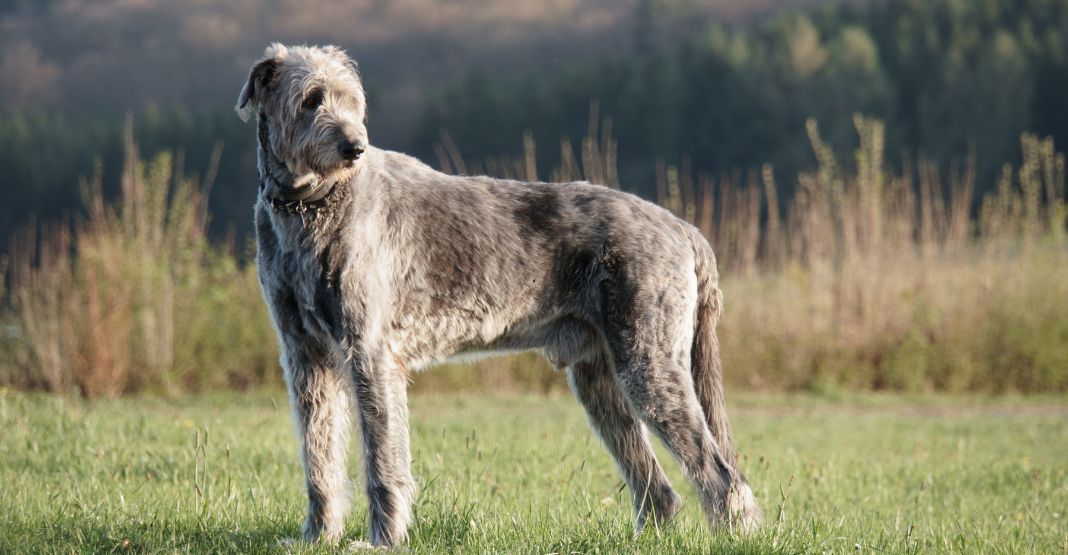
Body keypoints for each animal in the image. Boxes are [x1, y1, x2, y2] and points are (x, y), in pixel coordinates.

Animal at [238, 42, 764, 546]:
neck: (313, 205)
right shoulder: (306, 356)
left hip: (650, 364)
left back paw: (735, 534)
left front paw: (382, 541)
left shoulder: (369, 352)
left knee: (721, 475)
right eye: (311, 99)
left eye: (352, 100)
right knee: (660, 489)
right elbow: (318, 456)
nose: (355, 147)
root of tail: (685, 231)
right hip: (599, 379)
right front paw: (317, 536)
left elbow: (383, 461)